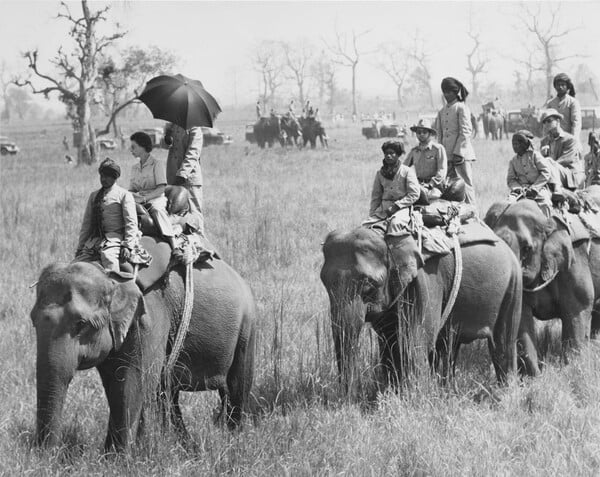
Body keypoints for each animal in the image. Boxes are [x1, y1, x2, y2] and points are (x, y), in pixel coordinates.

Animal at [31, 256, 255, 450]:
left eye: (81, 324)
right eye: (33, 320)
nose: (47, 457)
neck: (110, 274)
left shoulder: (149, 318)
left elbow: (131, 381)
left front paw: (119, 461)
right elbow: (114, 384)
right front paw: (110, 456)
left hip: (247, 326)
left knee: (237, 384)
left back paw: (233, 441)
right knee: (169, 394)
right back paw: (186, 446)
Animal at [322, 225, 524, 392]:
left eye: (369, 285)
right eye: (324, 282)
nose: (350, 400)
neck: (388, 239)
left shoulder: (427, 278)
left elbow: (415, 340)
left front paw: (414, 400)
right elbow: (389, 343)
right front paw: (391, 395)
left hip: (513, 284)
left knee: (503, 343)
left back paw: (505, 395)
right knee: (450, 343)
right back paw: (446, 390)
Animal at [486, 197, 600, 368]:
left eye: (527, 248)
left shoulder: (574, 258)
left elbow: (577, 310)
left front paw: (572, 368)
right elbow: (521, 320)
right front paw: (535, 374)